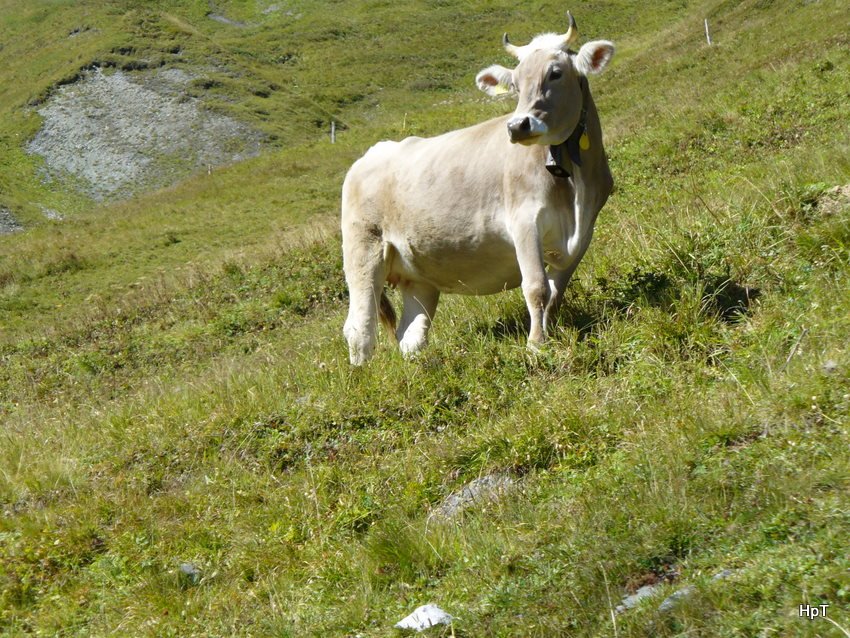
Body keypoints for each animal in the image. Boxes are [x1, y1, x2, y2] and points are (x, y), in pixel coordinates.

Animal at [342, 12, 612, 364]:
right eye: (516, 84)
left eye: (556, 73)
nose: (518, 126)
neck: (574, 184)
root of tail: (370, 154)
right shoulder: (523, 221)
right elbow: (536, 287)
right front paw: (536, 345)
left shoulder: (585, 230)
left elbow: (556, 291)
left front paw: (551, 334)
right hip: (363, 250)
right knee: (359, 326)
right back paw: (365, 373)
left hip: (418, 275)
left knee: (410, 336)